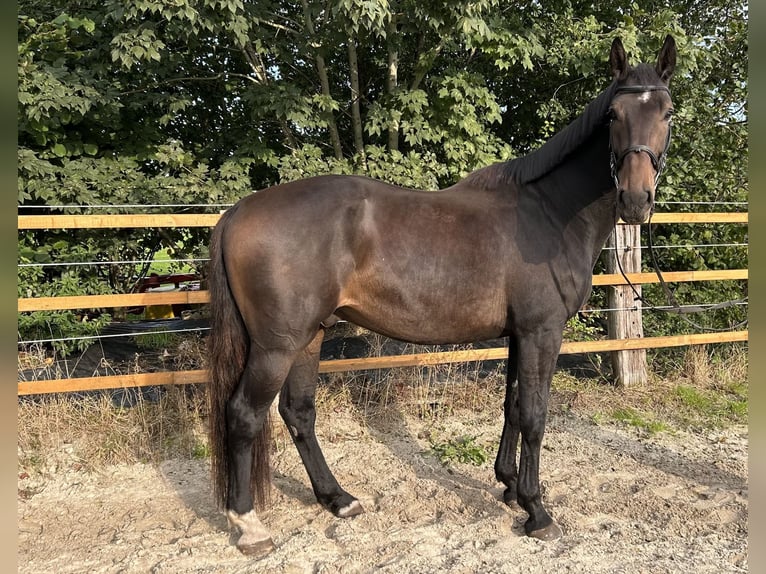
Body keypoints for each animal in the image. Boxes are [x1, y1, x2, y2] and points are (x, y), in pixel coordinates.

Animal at [206, 35, 677, 555]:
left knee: (298, 412)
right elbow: (535, 415)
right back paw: (248, 524)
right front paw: (536, 510)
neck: (549, 214)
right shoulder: (542, 332)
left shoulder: (519, 334)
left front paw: (509, 486)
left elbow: (513, 406)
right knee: (245, 414)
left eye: (668, 113)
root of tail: (238, 210)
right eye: (613, 114)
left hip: (310, 336)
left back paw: (338, 499)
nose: (636, 200)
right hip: (277, 345)